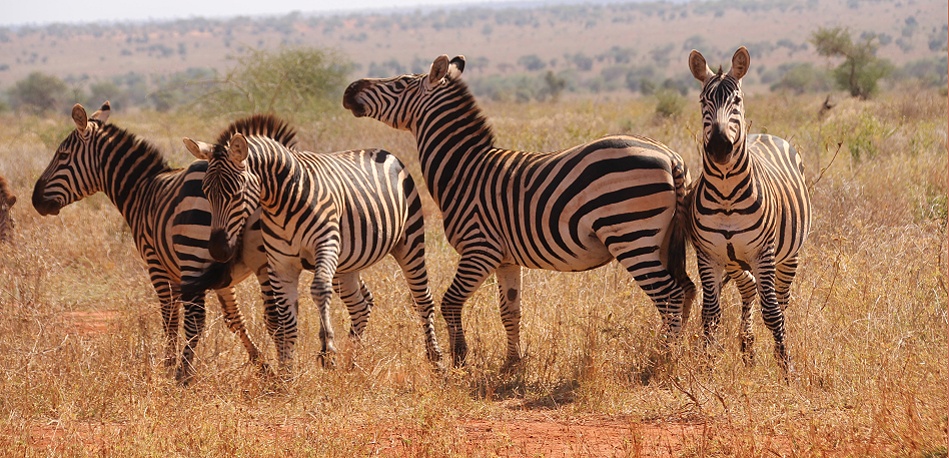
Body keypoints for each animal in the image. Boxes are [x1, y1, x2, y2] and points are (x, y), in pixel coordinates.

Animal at [31, 102, 293, 384]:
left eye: (63, 155)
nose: (35, 199)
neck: (141, 189)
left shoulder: (156, 261)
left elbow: (169, 317)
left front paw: (168, 367)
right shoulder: (209, 271)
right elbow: (234, 318)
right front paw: (262, 365)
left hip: (196, 254)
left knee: (196, 319)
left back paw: (183, 375)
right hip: (264, 260)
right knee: (275, 317)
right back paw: (282, 374)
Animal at [182, 120, 443, 371]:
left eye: (236, 193)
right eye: (205, 192)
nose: (218, 250)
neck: (281, 202)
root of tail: (383, 152)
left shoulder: (324, 246)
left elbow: (318, 290)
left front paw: (328, 351)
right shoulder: (280, 265)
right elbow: (286, 321)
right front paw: (286, 373)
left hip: (410, 240)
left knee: (423, 299)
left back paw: (436, 362)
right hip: (346, 265)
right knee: (360, 304)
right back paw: (351, 365)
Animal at [342, 54, 696, 370]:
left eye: (400, 83)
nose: (349, 89)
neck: (462, 169)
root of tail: (670, 156)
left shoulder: (479, 248)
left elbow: (450, 301)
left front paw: (459, 359)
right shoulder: (506, 259)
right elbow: (510, 311)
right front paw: (512, 363)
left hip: (631, 235)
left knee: (669, 295)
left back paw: (661, 359)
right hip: (662, 239)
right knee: (687, 289)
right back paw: (677, 352)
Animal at [686, 46, 812, 374]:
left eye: (737, 101)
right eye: (703, 102)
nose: (720, 147)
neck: (727, 194)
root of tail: (764, 134)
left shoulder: (762, 253)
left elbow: (772, 312)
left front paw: (785, 367)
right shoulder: (709, 255)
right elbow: (710, 312)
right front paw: (708, 365)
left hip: (789, 256)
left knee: (780, 300)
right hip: (733, 260)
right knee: (749, 288)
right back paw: (747, 346)